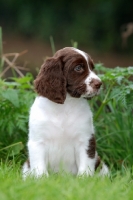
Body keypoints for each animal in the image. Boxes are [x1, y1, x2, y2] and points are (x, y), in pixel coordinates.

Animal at [22, 47, 108, 178]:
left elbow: (86, 165)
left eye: (92, 68)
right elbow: (39, 167)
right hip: (26, 166)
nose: (99, 84)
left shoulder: (85, 139)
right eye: (78, 68)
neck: (66, 105)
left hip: (102, 166)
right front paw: (42, 179)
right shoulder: (37, 141)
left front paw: (84, 180)